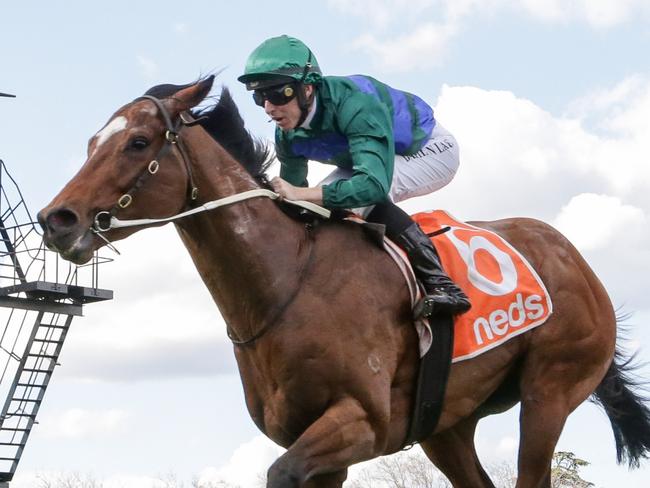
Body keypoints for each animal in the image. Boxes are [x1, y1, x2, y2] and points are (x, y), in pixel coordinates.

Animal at [36, 74, 648, 486]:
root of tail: (571, 256)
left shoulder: (362, 423)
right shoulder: (314, 440)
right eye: (92, 144)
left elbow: (281, 473)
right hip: (447, 424)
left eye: (138, 143)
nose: (55, 219)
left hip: (550, 392)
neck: (285, 283)